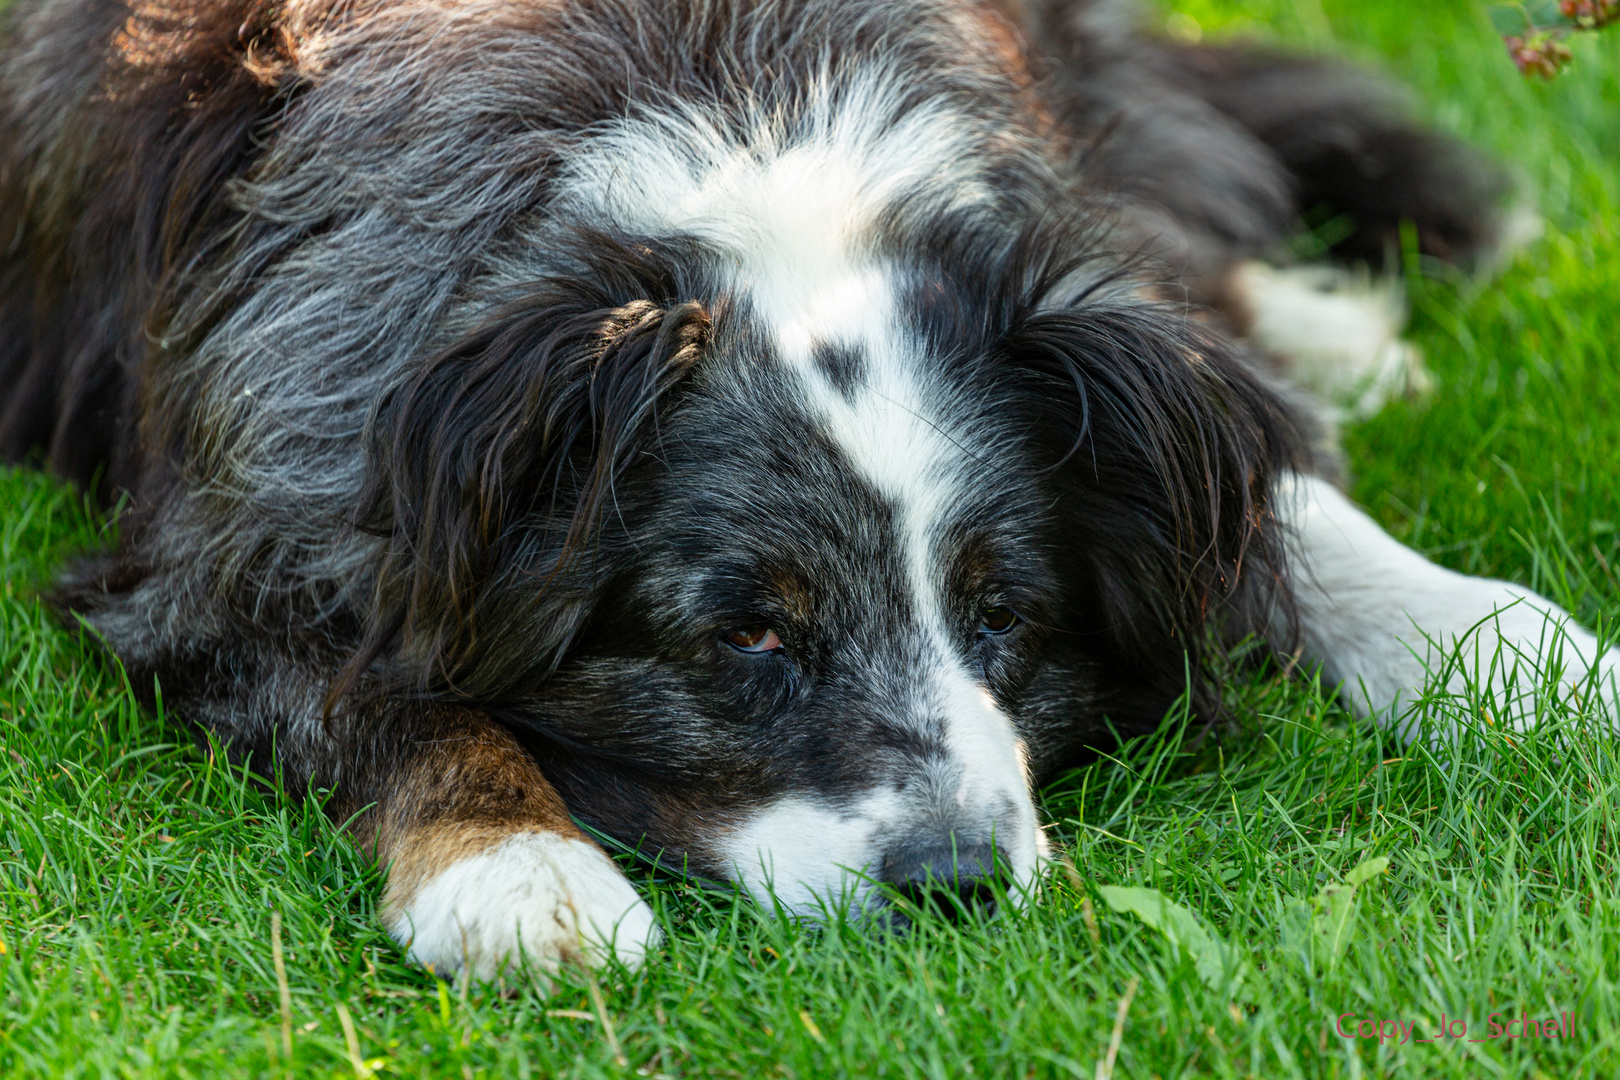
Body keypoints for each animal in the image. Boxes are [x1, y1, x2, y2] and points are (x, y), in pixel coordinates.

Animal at [0, 0, 1613, 977]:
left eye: (1004, 616)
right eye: (751, 636)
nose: (958, 881)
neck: (737, 124)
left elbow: (1263, 491)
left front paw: (1519, 655)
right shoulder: (233, 518)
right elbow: (377, 689)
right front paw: (518, 878)